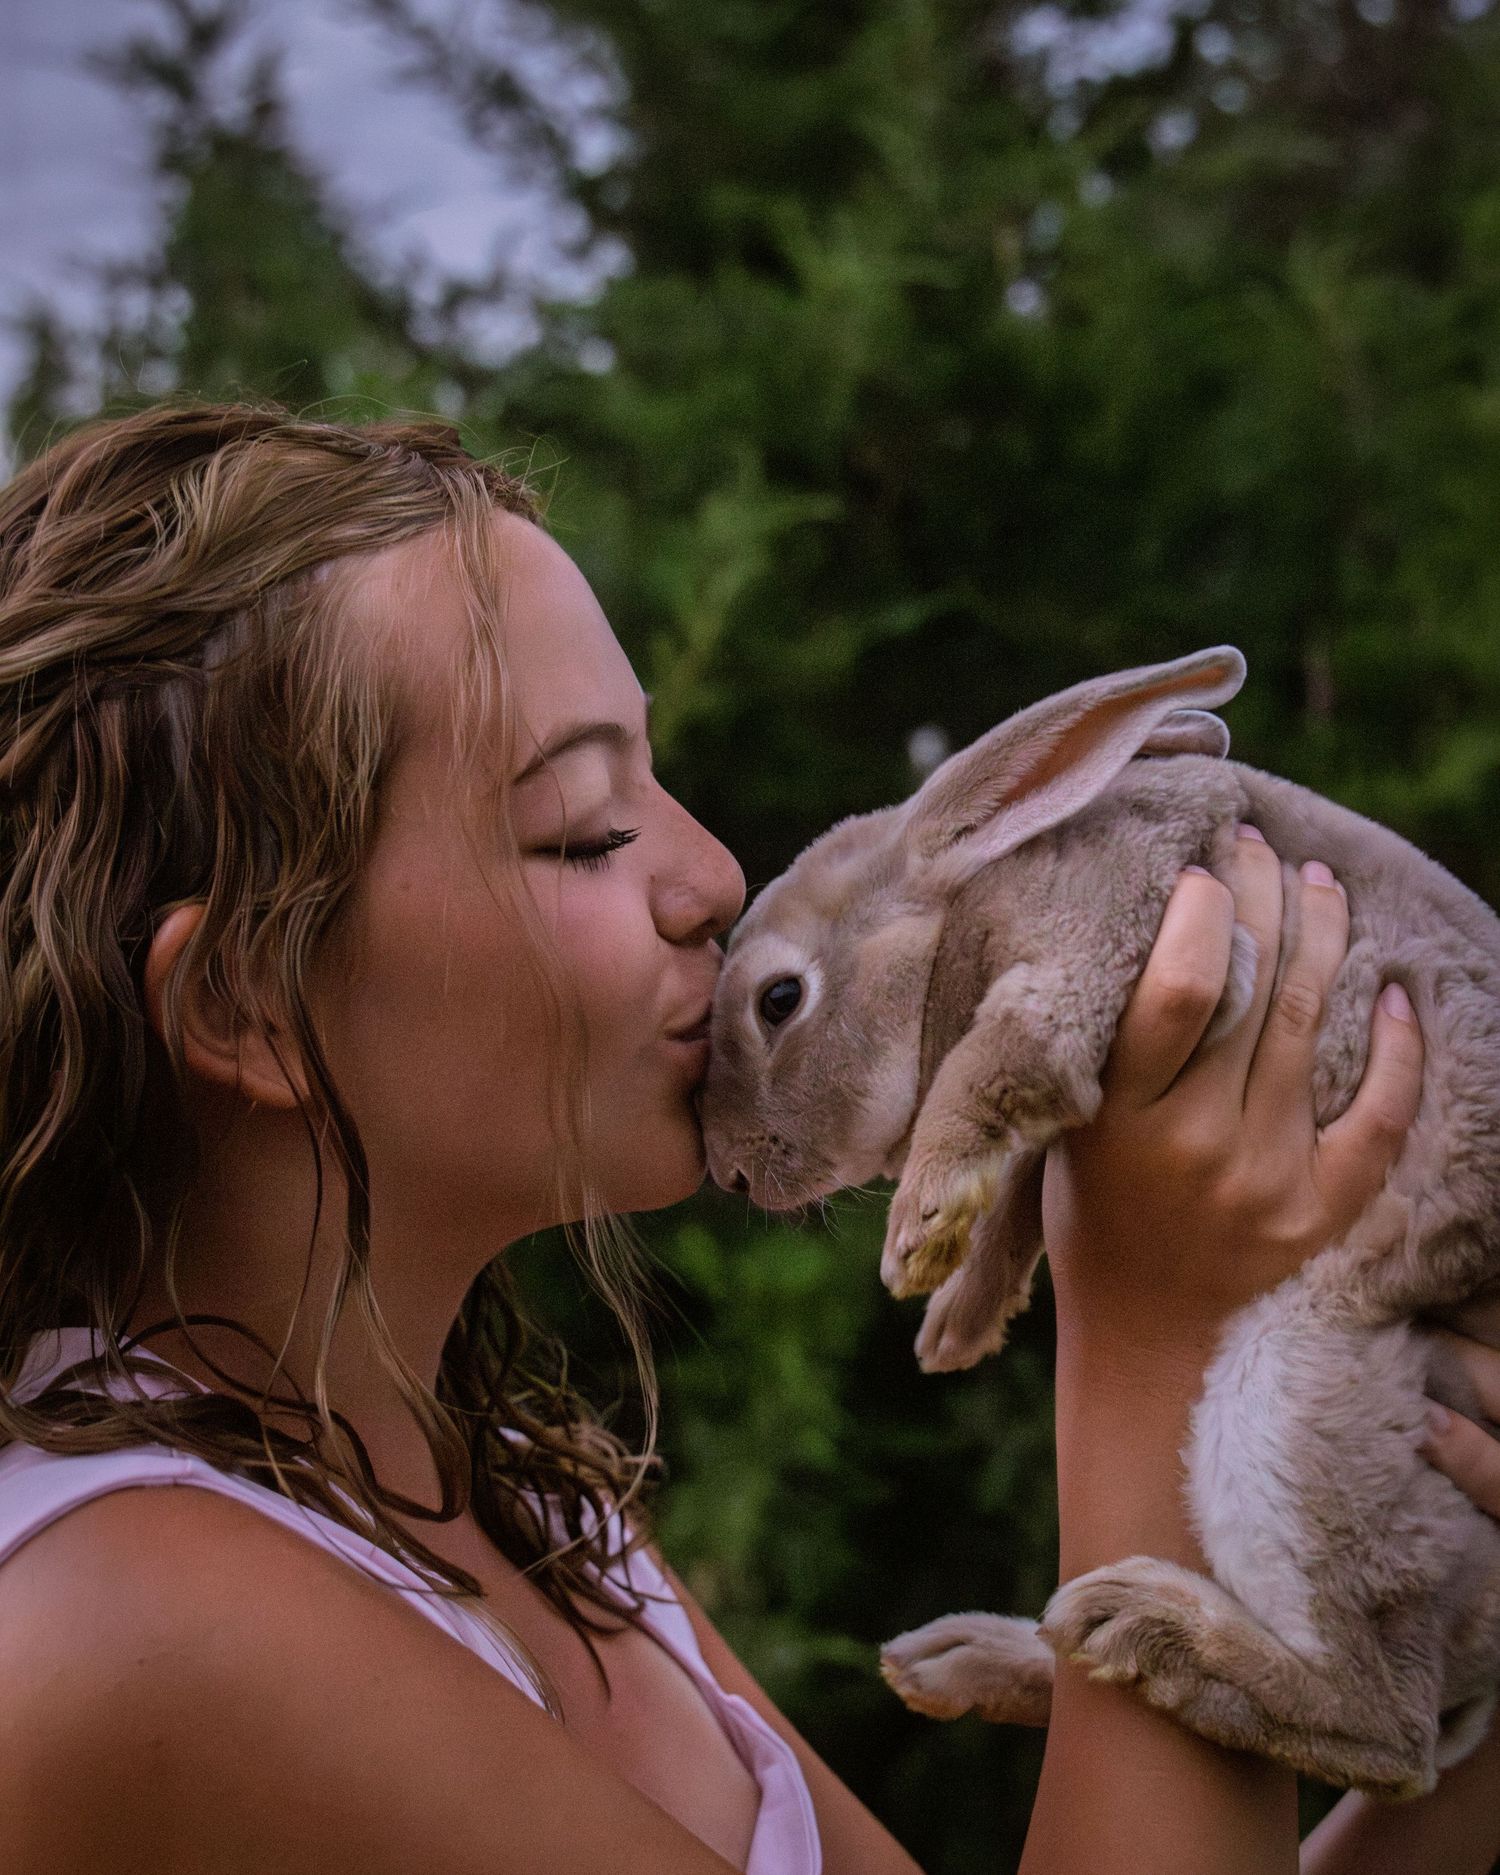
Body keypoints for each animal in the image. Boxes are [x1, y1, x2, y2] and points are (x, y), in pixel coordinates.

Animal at [698, 646, 1500, 1798]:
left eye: (778, 1000)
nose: (727, 1171)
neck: (964, 905)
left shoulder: (1106, 930)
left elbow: (1007, 1061)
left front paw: (917, 1235)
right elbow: (1027, 1180)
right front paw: (957, 1320)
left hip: (1293, 1389)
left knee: (1385, 1731)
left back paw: (1144, 1627)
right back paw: (972, 1657)